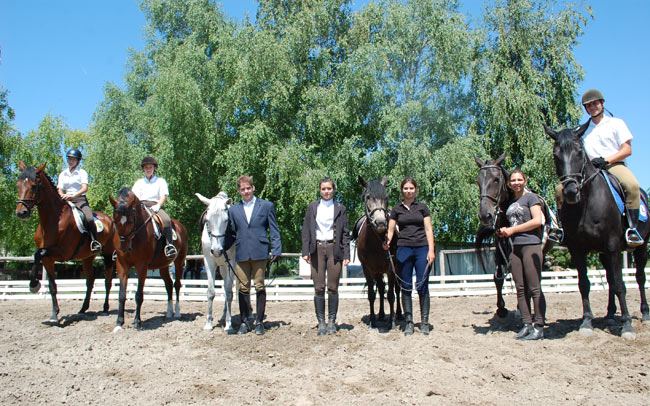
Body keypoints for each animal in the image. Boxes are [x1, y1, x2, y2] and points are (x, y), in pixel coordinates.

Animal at [14, 160, 116, 322]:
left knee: (107, 281)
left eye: (34, 185)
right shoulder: (48, 259)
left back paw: (105, 309)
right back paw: (83, 309)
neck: (52, 220)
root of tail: (109, 219)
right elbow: (52, 285)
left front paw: (34, 284)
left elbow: (38, 253)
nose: (21, 213)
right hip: (88, 257)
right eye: (18, 184)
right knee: (90, 280)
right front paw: (54, 315)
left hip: (107, 254)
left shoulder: (63, 253)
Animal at [109, 187, 187, 330]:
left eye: (130, 221)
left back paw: (177, 313)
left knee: (177, 284)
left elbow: (139, 295)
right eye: (115, 220)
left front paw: (137, 322)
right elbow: (121, 295)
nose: (123, 247)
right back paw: (169, 313)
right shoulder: (122, 265)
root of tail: (180, 226)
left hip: (179, 261)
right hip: (163, 265)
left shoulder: (142, 266)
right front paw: (119, 322)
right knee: (168, 284)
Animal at [352, 176, 398, 328]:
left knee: (397, 290)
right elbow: (372, 294)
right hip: (377, 272)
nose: (381, 223)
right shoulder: (367, 269)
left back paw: (399, 315)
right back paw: (381, 315)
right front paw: (372, 320)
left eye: (386, 197)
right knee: (381, 287)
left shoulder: (391, 268)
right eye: (367, 197)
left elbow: (391, 295)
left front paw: (392, 322)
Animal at [544, 121, 644, 340]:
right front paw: (587, 322)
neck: (586, 203)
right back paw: (610, 316)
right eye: (555, 154)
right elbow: (585, 284)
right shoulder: (577, 248)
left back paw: (645, 314)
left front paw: (628, 327)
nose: (571, 191)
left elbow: (621, 285)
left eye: (580, 151)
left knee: (639, 277)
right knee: (610, 280)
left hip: (641, 247)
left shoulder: (614, 246)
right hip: (603, 253)